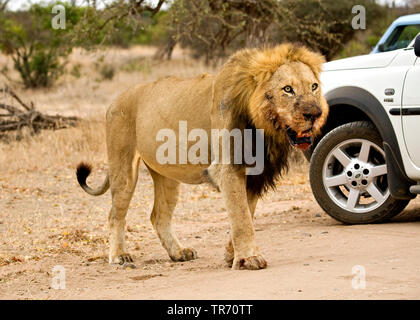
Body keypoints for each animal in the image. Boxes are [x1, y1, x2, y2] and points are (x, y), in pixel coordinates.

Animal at [77, 43, 330, 270]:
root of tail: (115, 99)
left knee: (158, 215)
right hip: (123, 166)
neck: (265, 128)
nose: (315, 114)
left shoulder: (257, 173)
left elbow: (246, 212)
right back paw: (119, 256)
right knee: (115, 214)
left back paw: (179, 253)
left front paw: (232, 255)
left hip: (166, 175)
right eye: (287, 89)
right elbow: (241, 216)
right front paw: (249, 258)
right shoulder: (229, 167)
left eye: (314, 86)